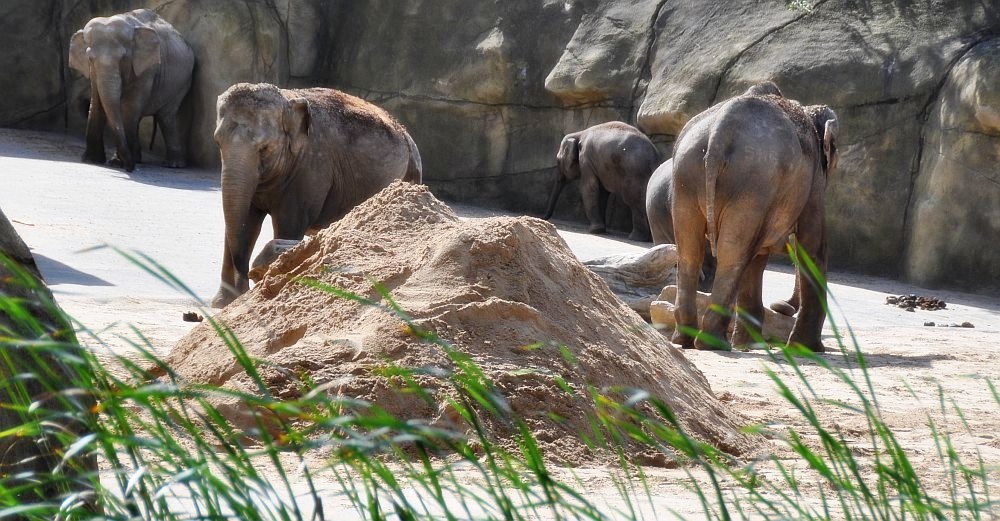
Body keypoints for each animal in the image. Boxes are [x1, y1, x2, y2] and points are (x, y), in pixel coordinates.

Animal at [68, 8, 193, 171]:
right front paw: (91, 160)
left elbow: (130, 106)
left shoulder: (147, 67)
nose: (130, 168)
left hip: (182, 82)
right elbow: (96, 102)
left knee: (166, 117)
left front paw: (116, 162)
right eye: (90, 59)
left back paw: (173, 165)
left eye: (123, 58)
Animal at [213, 83, 424, 306]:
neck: (287, 99)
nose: (244, 280)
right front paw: (224, 303)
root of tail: (408, 137)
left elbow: (288, 224)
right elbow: (246, 221)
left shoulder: (311, 168)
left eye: (264, 148)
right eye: (217, 143)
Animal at [668, 83, 840, 352]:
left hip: (686, 175)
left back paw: (686, 340)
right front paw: (807, 349)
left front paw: (747, 343)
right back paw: (713, 343)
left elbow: (760, 255)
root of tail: (721, 129)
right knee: (733, 253)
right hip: (755, 180)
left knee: (690, 251)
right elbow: (812, 245)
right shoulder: (813, 182)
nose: (781, 305)